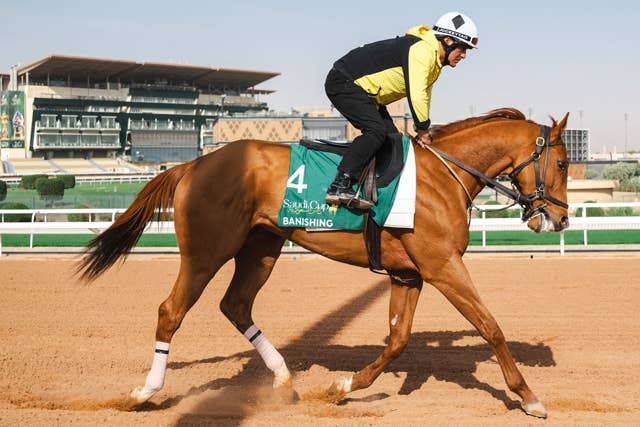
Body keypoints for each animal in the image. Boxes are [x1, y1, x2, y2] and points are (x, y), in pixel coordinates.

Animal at [78, 107, 570, 418]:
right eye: (564, 162)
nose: (561, 218)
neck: (441, 176)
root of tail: (191, 165)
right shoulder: (442, 267)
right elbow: (490, 326)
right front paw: (529, 397)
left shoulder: (408, 274)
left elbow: (398, 340)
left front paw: (343, 387)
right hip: (206, 250)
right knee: (171, 311)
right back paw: (145, 392)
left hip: (260, 248)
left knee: (236, 306)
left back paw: (283, 380)